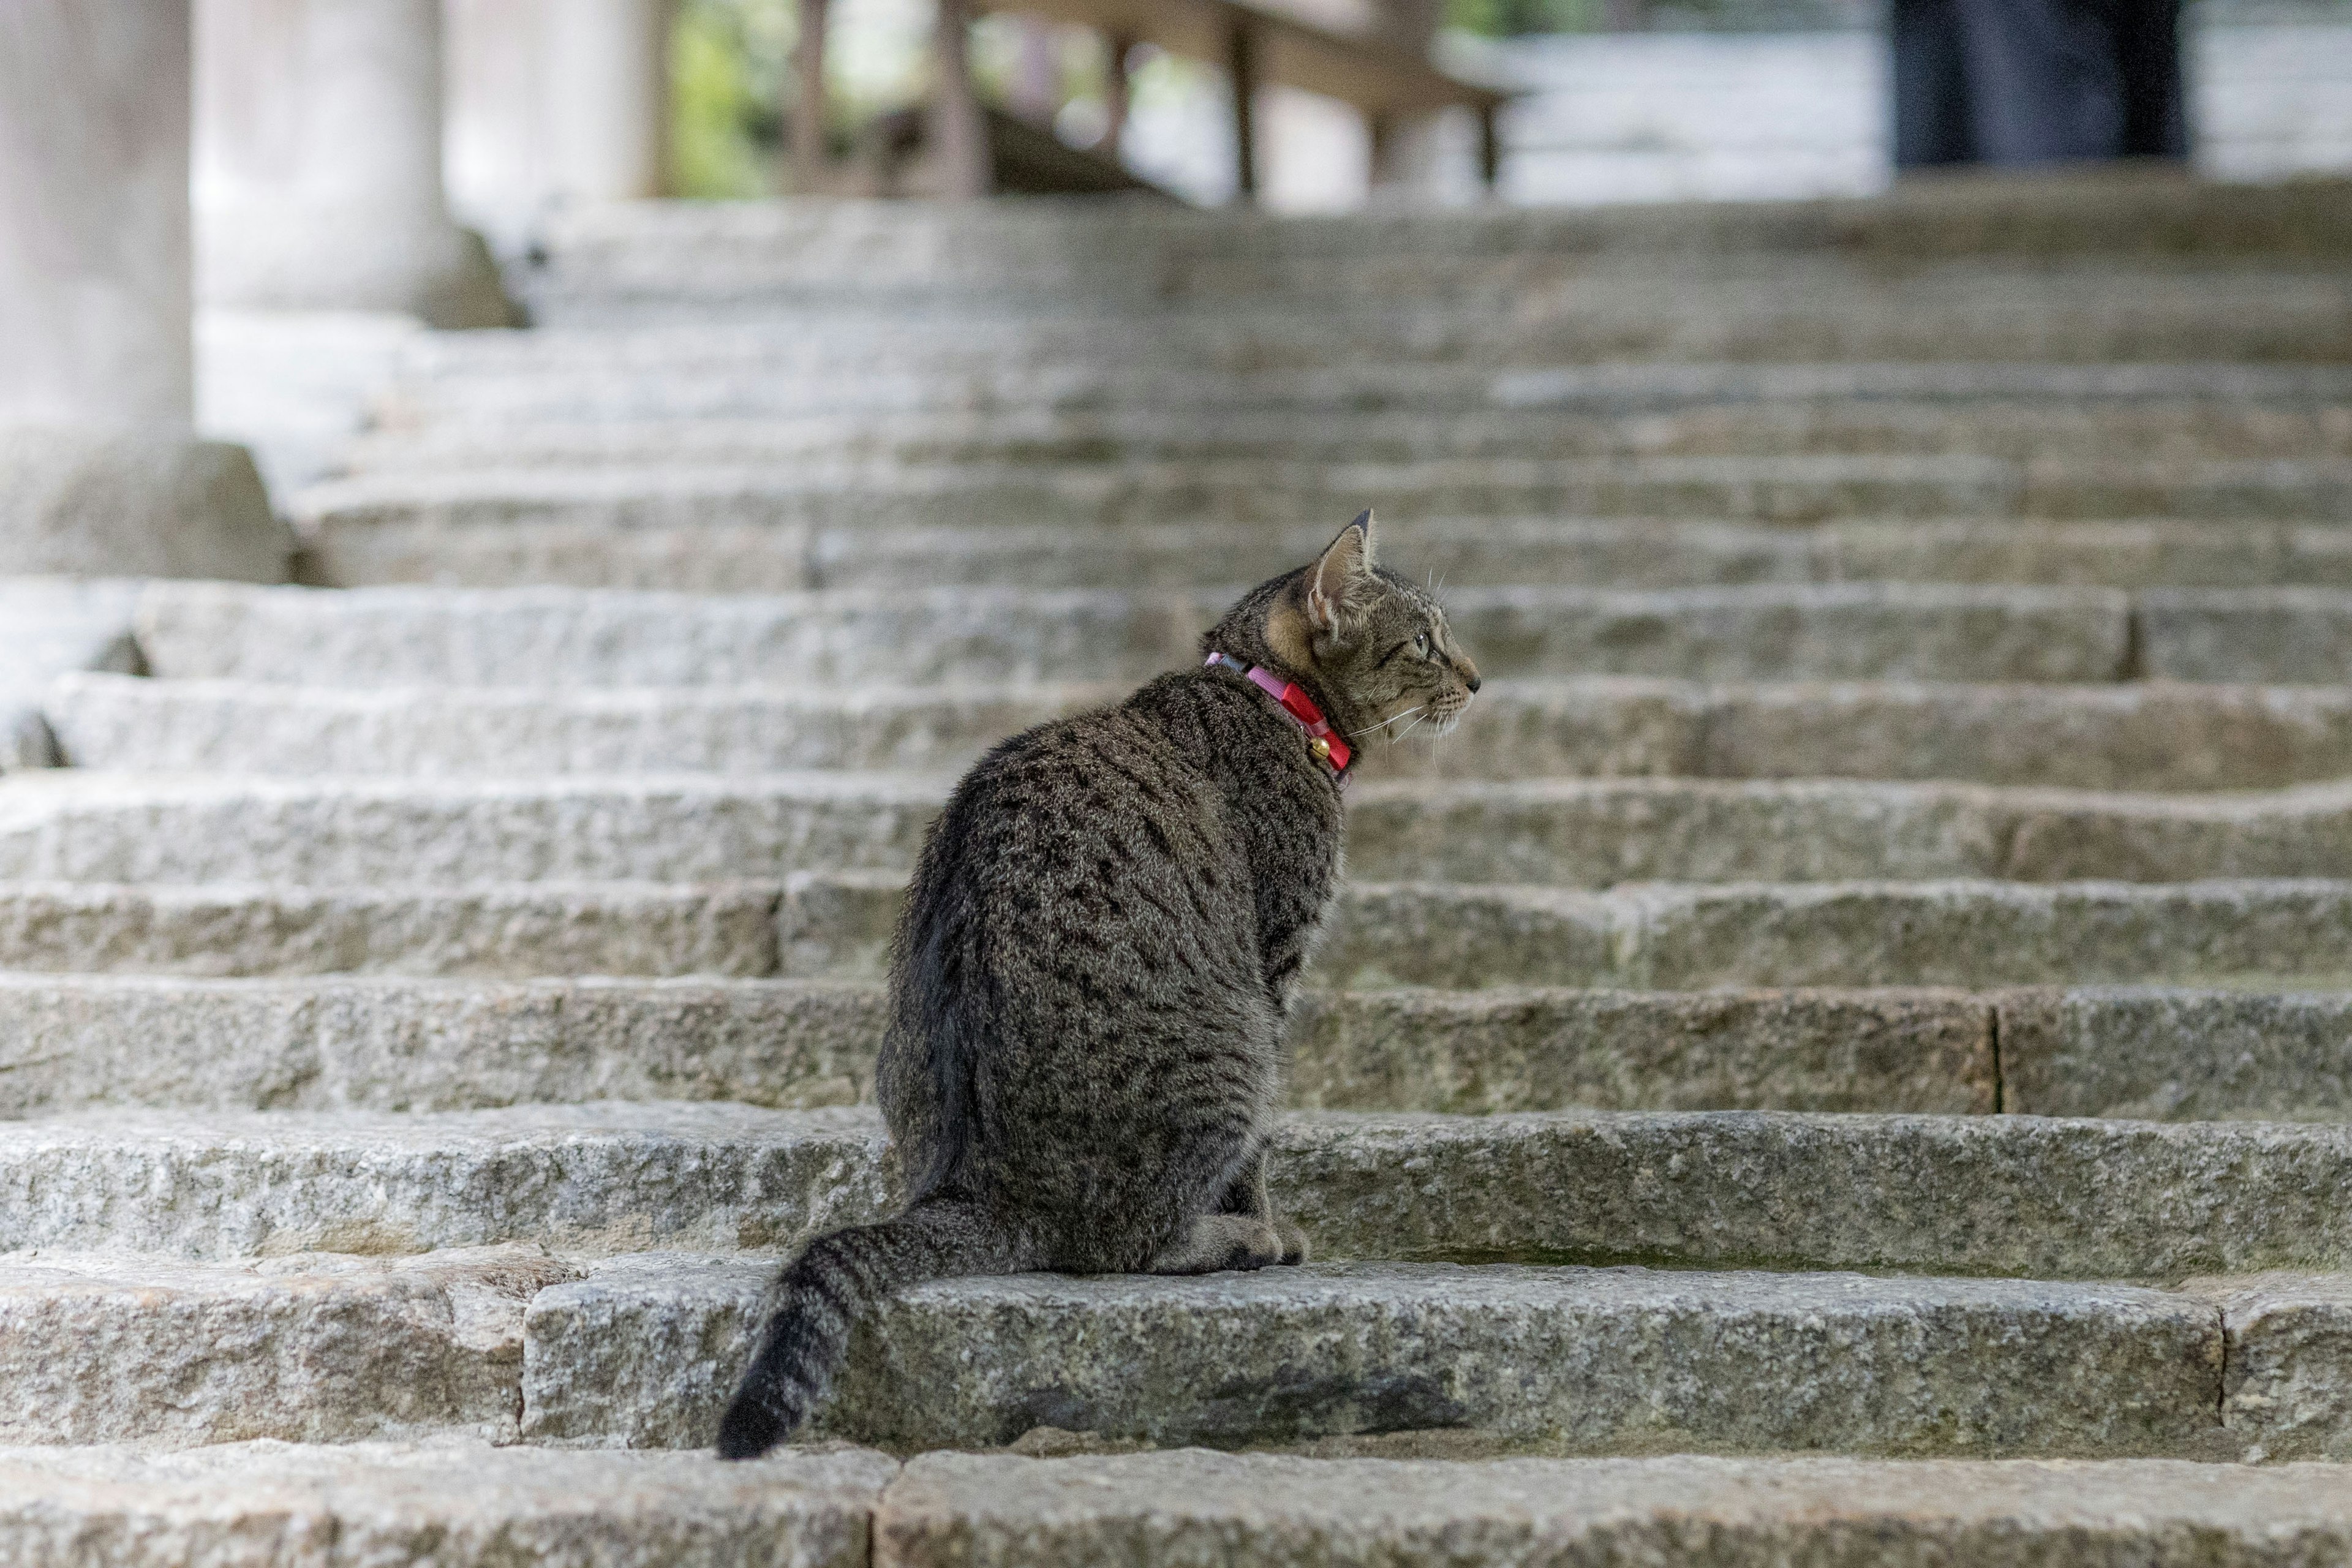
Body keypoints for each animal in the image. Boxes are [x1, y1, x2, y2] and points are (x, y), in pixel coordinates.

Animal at [720, 514, 1486, 1457]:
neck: (1264, 693)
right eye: (1424, 641)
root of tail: (979, 1190)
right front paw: (1271, 1224)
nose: (1477, 678)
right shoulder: (1274, 966)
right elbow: (1257, 1157)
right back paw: (1235, 1238)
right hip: (1231, 1049)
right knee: (1124, 1242)